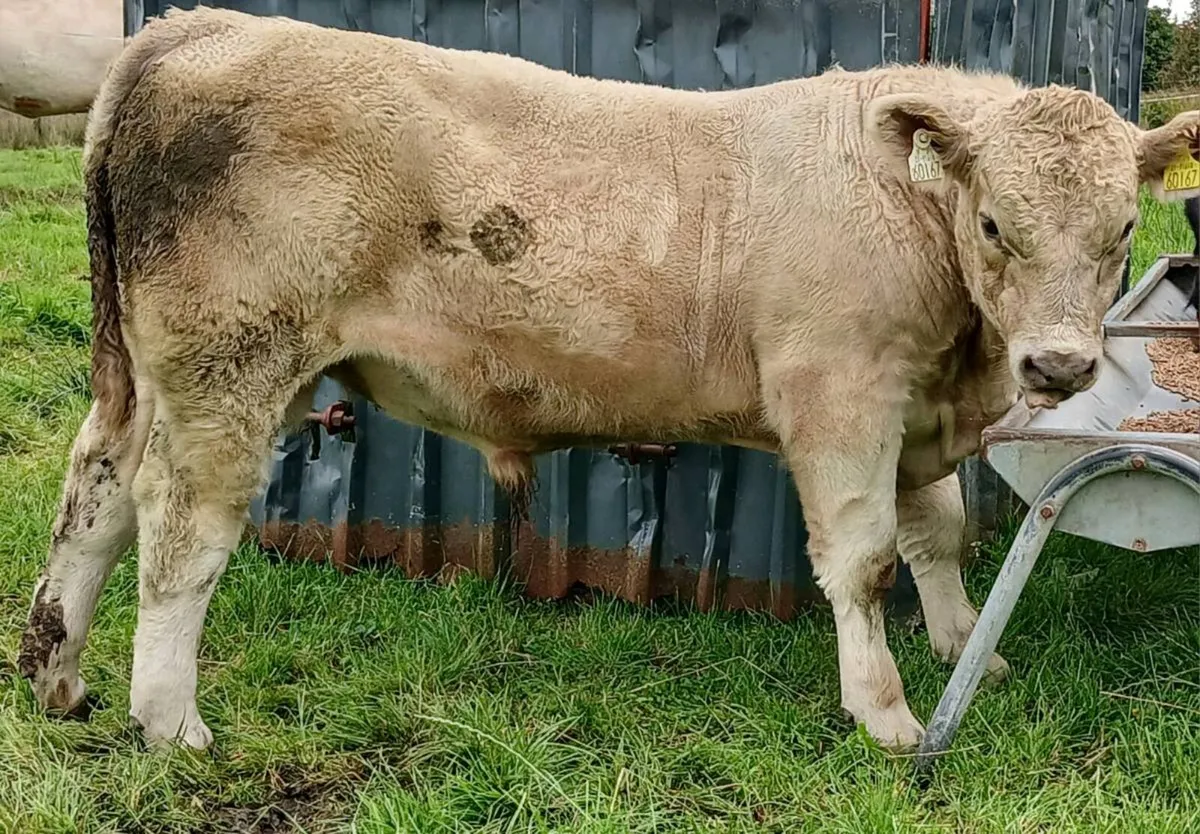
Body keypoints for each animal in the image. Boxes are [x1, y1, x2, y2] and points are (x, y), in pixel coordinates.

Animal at [18, 5, 1200, 753]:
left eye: (1121, 230)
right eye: (994, 224)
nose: (1059, 363)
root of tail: (195, 27)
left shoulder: (914, 409)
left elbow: (939, 537)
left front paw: (967, 655)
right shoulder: (842, 396)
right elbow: (864, 565)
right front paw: (889, 714)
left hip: (149, 374)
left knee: (97, 490)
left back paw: (58, 673)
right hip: (233, 362)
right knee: (181, 526)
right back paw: (169, 720)